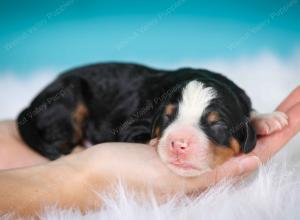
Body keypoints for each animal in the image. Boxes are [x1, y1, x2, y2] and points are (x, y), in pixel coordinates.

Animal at [17, 62, 288, 177]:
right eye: (167, 118)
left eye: (217, 124)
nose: (178, 144)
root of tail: (31, 104)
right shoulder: (134, 123)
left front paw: (267, 118)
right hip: (70, 99)